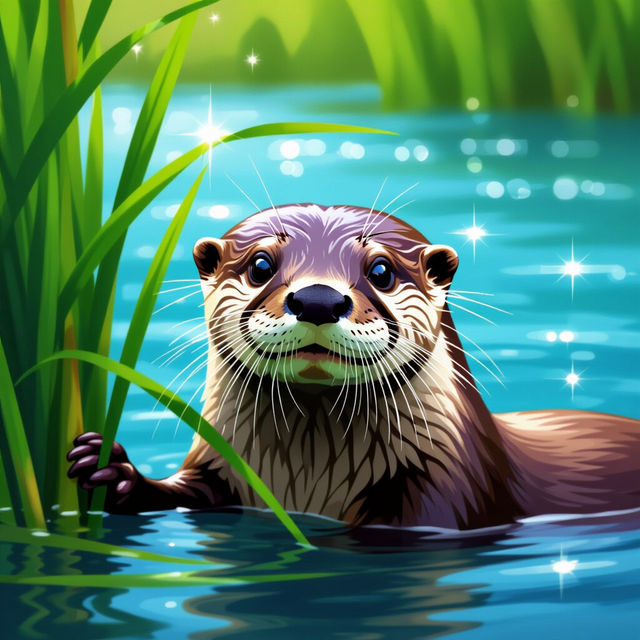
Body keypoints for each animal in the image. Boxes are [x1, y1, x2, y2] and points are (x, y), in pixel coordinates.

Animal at [67, 204, 640, 529]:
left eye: (381, 270)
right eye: (260, 265)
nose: (318, 298)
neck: (305, 479)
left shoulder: (447, 492)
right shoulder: (220, 469)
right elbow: (182, 494)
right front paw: (107, 468)